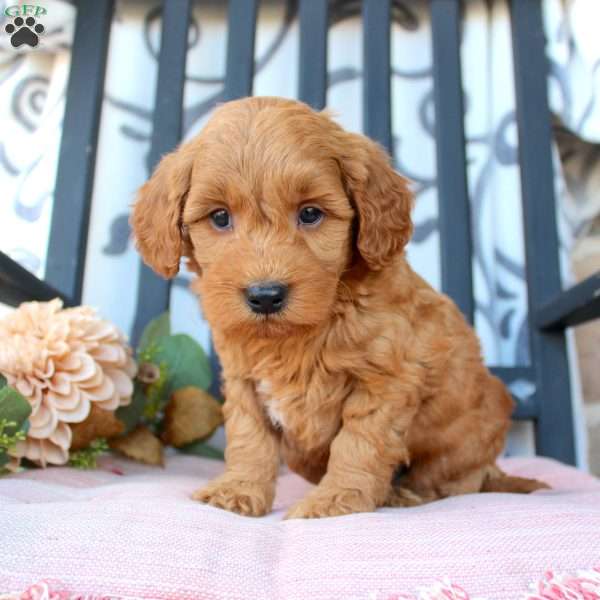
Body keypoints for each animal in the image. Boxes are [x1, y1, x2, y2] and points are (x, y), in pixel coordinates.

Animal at [134, 96, 548, 516]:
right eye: (220, 217)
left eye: (310, 213)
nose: (265, 296)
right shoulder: (243, 379)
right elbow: (250, 437)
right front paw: (237, 489)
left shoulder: (387, 379)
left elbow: (360, 443)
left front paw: (336, 501)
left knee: (451, 480)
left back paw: (403, 494)